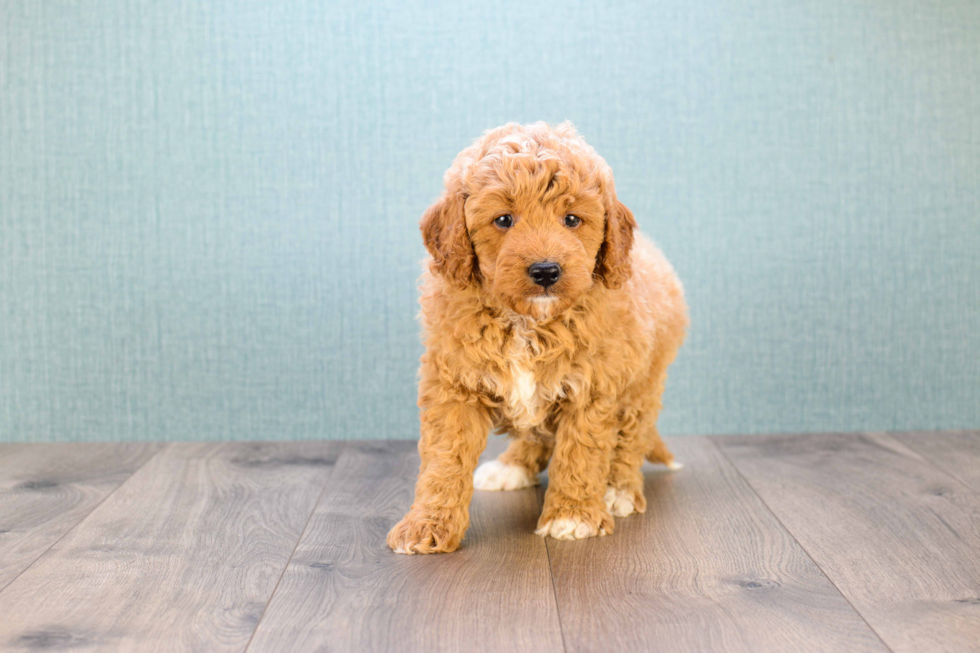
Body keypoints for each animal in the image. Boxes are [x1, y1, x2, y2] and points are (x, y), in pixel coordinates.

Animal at [386, 119, 684, 552]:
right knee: (536, 433)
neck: (528, 322)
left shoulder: (593, 387)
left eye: (572, 220)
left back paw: (620, 490)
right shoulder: (454, 384)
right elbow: (444, 460)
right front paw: (426, 524)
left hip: (644, 384)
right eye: (504, 220)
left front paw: (573, 516)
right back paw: (511, 467)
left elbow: (582, 453)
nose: (546, 271)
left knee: (631, 438)